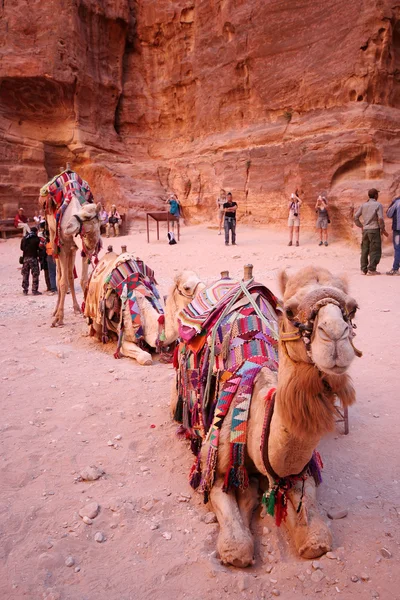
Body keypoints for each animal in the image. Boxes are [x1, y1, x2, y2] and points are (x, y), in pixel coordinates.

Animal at [40, 169, 101, 328]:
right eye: (79, 213)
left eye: (87, 216)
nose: (67, 226)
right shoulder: (63, 248)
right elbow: (62, 282)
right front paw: (58, 318)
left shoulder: (84, 249)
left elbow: (84, 280)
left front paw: (86, 312)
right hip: (54, 239)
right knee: (60, 276)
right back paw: (55, 311)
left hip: (72, 250)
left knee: (69, 275)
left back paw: (76, 308)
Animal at [170, 264, 360, 564]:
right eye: (290, 311)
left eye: (352, 308)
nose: (335, 337)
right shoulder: (214, 468)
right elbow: (237, 547)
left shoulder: (303, 471)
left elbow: (317, 538)